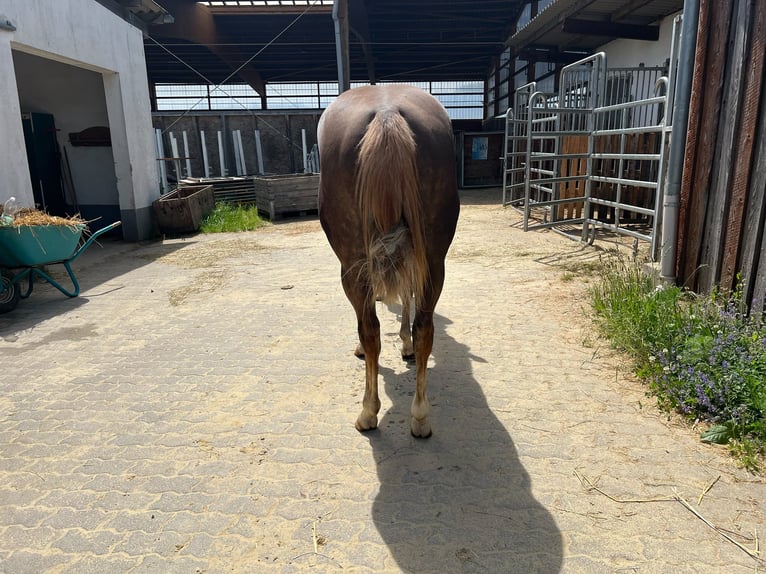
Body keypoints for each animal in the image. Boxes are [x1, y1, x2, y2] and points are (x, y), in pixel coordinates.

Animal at [318, 84, 460, 438]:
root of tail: (386, 113)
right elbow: (408, 300)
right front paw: (405, 343)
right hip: (434, 262)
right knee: (425, 329)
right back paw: (420, 416)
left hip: (352, 266)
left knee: (370, 330)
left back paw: (368, 412)